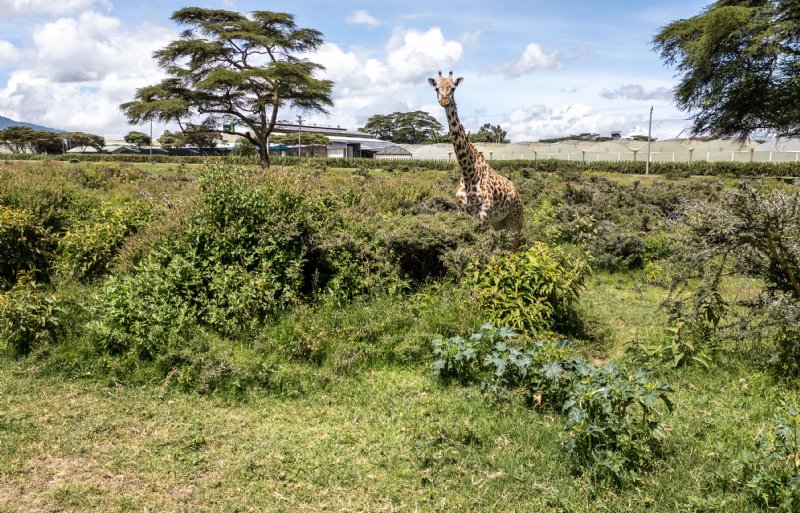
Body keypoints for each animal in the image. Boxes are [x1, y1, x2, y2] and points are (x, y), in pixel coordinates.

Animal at [427, 71, 524, 248]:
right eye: (436, 88)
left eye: (453, 88)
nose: (444, 100)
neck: (468, 173)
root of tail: (517, 192)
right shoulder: (464, 213)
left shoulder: (484, 215)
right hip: (499, 222)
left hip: (515, 219)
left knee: (514, 248)